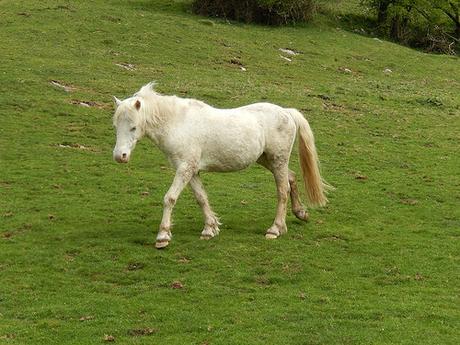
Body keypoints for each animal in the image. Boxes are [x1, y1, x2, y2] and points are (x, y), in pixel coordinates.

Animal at [113, 82, 332, 247]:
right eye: (116, 126)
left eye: (133, 127)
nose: (119, 156)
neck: (179, 124)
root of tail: (287, 112)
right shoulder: (192, 171)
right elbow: (201, 198)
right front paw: (210, 229)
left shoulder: (185, 169)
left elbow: (170, 198)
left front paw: (163, 236)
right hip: (267, 160)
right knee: (291, 178)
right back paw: (300, 213)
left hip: (278, 160)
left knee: (282, 190)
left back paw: (275, 229)